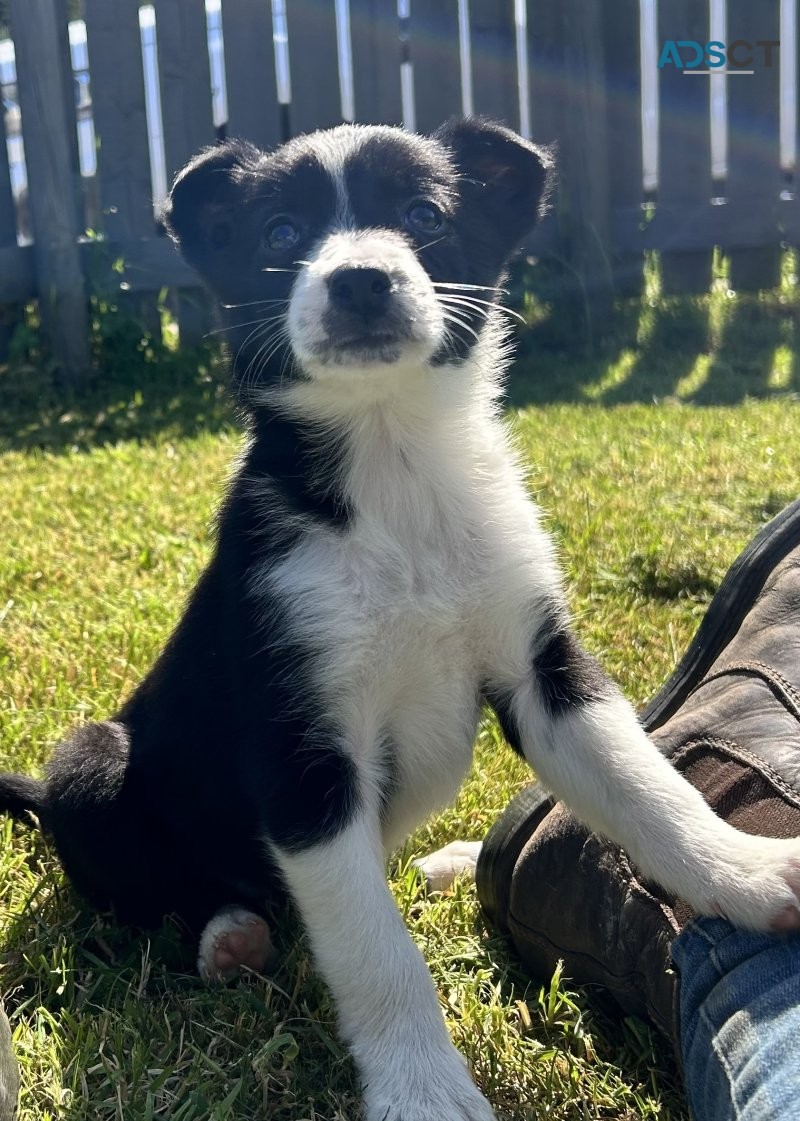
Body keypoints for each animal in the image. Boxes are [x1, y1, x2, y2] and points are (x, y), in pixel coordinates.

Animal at [4, 116, 797, 1121]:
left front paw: (746, 871)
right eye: (278, 232)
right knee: (182, 888)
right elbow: (376, 952)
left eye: (424, 214)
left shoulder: (543, 668)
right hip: (90, 763)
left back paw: (444, 861)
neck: (392, 470)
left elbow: (646, 785)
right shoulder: (301, 748)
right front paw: (423, 1088)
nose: (359, 279)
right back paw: (229, 933)